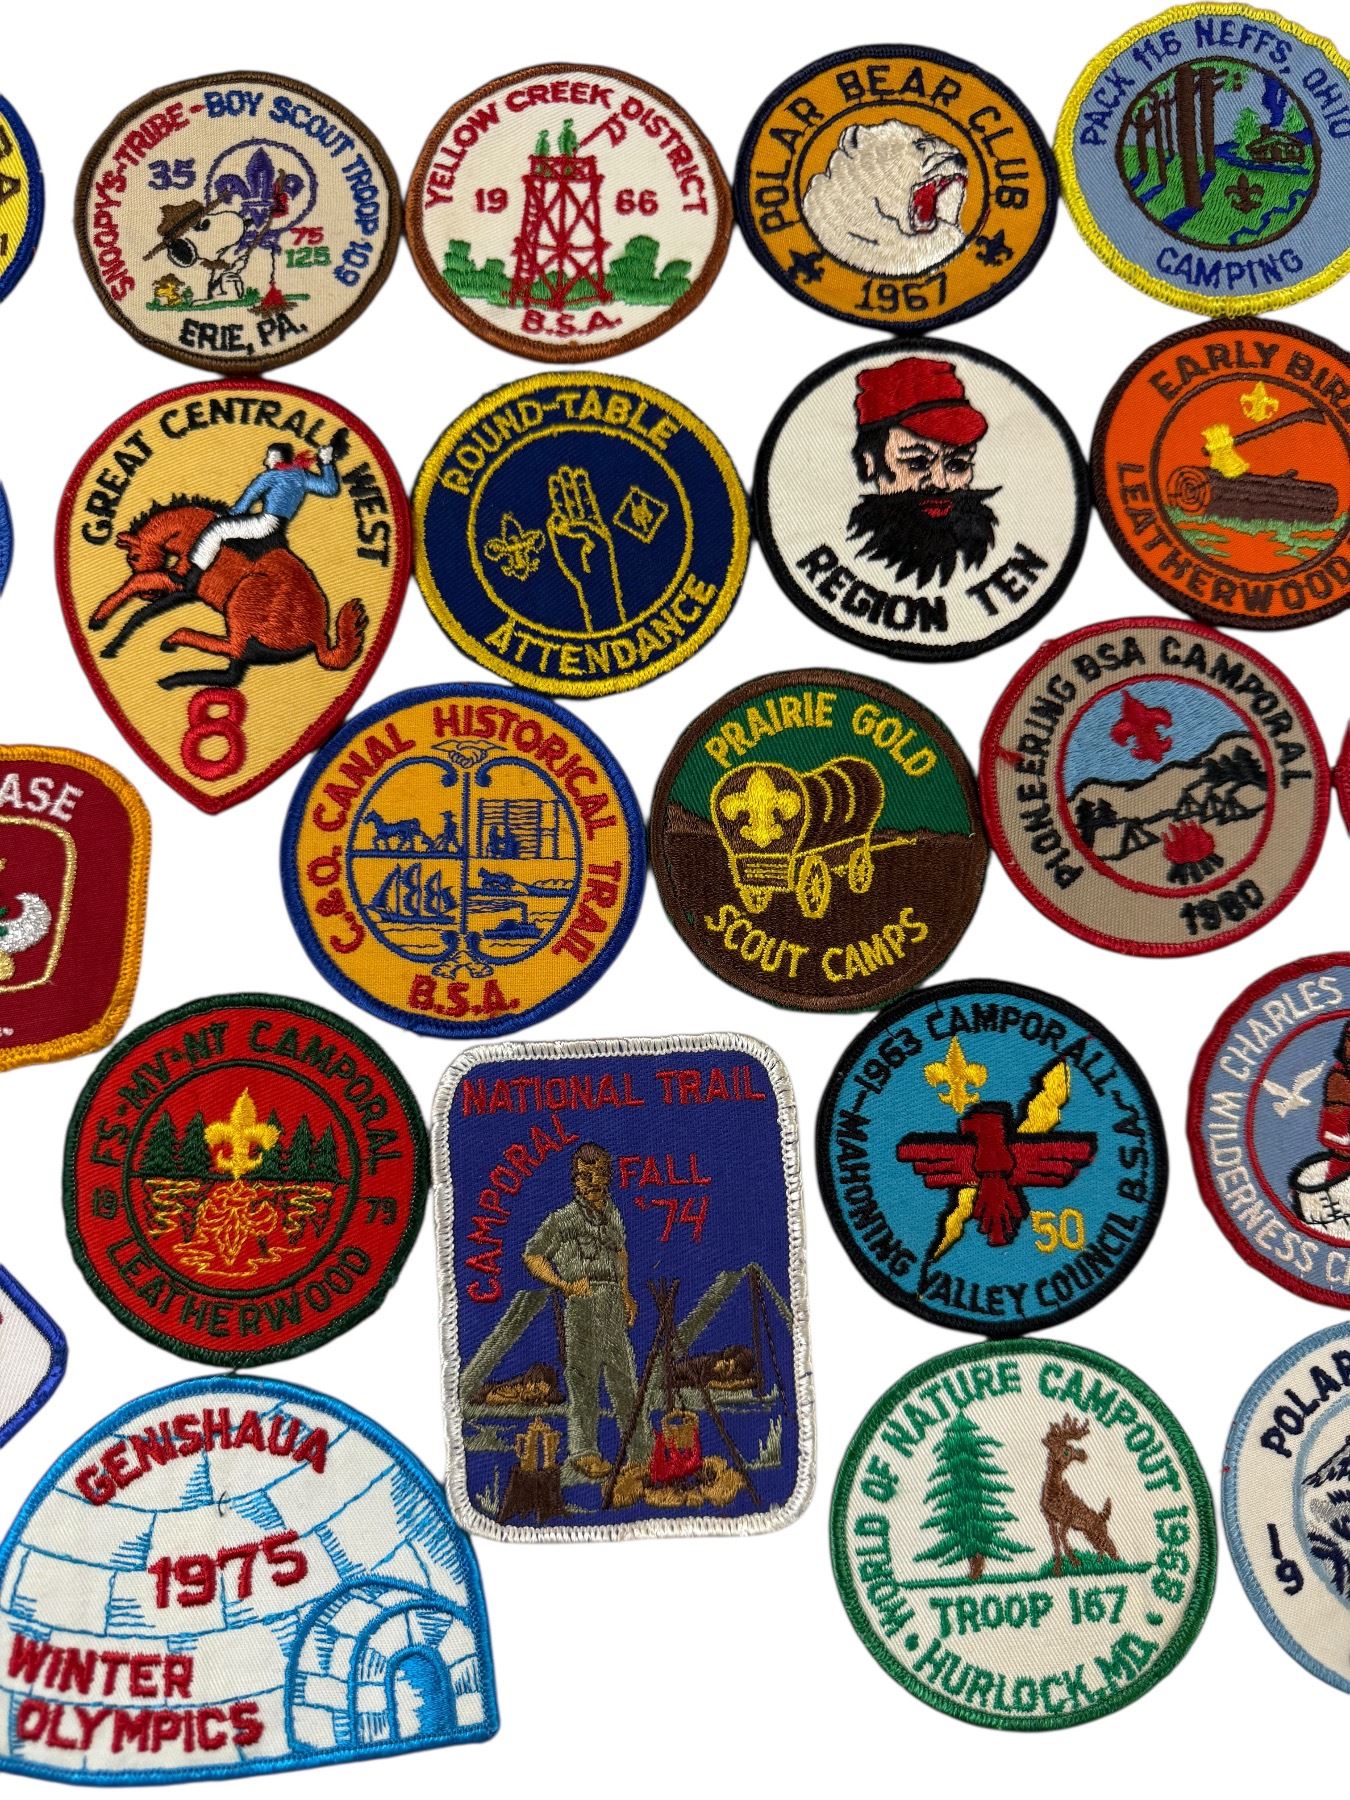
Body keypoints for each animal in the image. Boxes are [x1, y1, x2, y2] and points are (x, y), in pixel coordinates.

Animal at [88, 496, 368, 691]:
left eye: (133, 557)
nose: (150, 595)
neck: (193, 531)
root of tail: (318, 636)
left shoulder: (184, 583)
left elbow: (139, 585)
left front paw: (104, 625)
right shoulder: (185, 588)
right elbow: (141, 600)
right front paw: (107, 633)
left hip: (245, 595)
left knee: (235, 649)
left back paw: (175, 640)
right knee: (233, 672)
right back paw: (173, 678)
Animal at [1040, 1414, 1119, 1576]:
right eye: (1067, 1451)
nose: (1082, 1454)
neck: (1054, 1493)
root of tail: (1100, 1517)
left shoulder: (1067, 1518)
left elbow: (1062, 1536)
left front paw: (1074, 1561)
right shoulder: (1049, 1517)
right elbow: (1055, 1539)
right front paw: (1057, 1567)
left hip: (1097, 1531)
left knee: (1109, 1545)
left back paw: (1118, 1563)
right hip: (1088, 1533)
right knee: (1100, 1548)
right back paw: (1099, 1563)